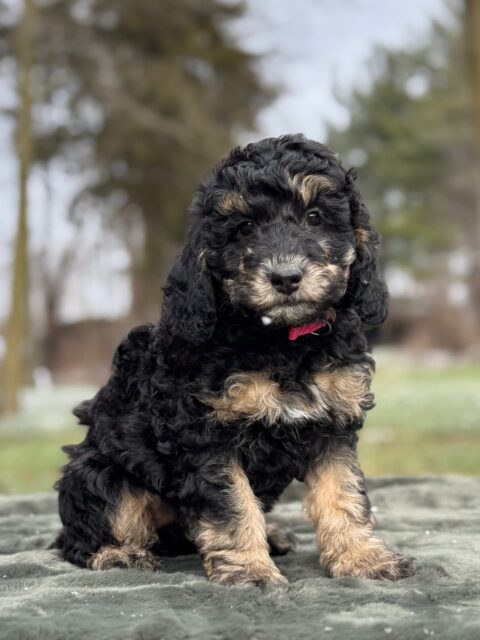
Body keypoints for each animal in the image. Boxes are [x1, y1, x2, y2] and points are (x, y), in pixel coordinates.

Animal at [55, 134, 416, 584]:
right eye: (244, 228)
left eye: (315, 217)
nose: (285, 278)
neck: (282, 340)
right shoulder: (206, 433)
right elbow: (232, 503)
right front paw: (250, 570)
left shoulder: (333, 424)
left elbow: (342, 492)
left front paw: (361, 558)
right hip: (103, 473)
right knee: (86, 533)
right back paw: (117, 555)